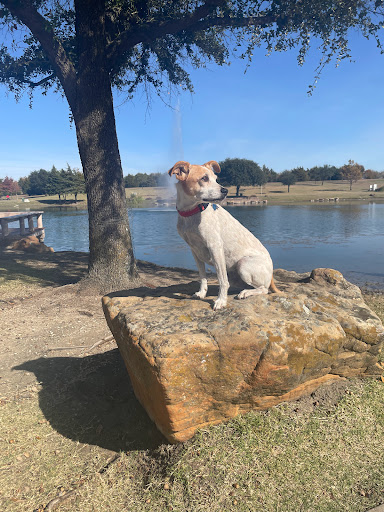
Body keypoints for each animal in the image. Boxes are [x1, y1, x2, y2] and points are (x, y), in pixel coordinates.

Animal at [168, 160, 280, 310]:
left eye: (216, 179)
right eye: (204, 178)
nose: (225, 191)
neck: (192, 212)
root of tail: (272, 273)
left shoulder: (215, 247)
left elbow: (222, 280)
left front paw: (221, 300)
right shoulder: (194, 251)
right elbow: (202, 276)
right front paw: (202, 293)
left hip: (243, 265)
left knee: (264, 289)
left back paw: (245, 293)